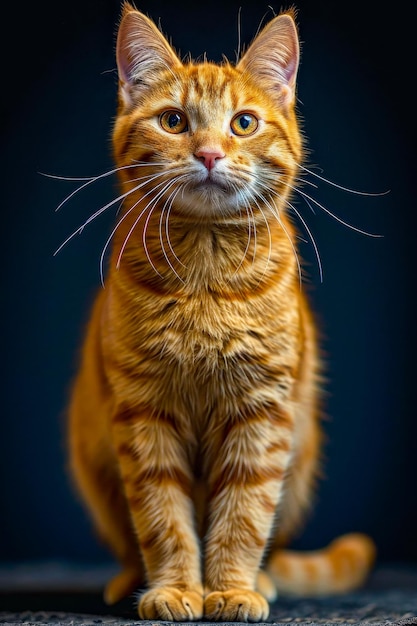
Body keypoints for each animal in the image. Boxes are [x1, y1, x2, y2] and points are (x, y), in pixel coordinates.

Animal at [66, 2, 376, 620]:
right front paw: (177, 589)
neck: (206, 279)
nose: (208, 154)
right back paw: (129, 580)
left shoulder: (262, 418)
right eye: (174, 121)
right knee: (131, 541)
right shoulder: (146, 418)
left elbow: (243, 517)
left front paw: (230, 588)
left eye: (243, 124)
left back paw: (262, 581)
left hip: (301, 457)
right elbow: (164, 519)